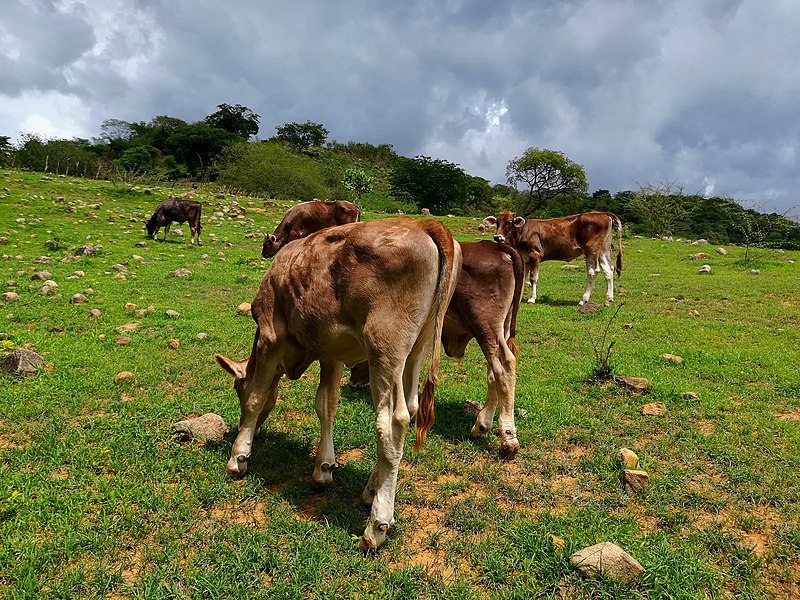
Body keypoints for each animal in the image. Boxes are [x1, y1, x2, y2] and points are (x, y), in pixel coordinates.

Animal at [216, 218, 460, 552]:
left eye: (236, 389)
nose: (254, 433)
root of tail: (423, 222)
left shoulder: (270, 334)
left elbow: (258, 396)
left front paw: (239, 457)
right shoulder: (332, 353)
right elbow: (326, 405)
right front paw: (324, 468)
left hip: (385, 344)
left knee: (392, 421)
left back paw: (377, 524)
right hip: (418, 345)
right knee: (410, 407)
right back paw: (371, 491)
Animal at [350, 239, 524, 454]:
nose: (352, 382)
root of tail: (496, 247)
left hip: (486, 325)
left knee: (504, 367)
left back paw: (508, 437)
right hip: (501, 328)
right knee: (493, 373)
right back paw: (482, 425)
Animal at [482, 211, 624, 304]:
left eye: (509, 222)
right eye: (497, 222)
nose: (497, 237)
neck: (521, 233)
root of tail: (602, 213)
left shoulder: (535, 254)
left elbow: (533, 278)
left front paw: (532, 298)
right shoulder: (525, 258)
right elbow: (522, 278)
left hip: (591, 249)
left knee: (593, 272)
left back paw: (584, 299)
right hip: (603, 250)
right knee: (608, 270)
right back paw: (608, 299)